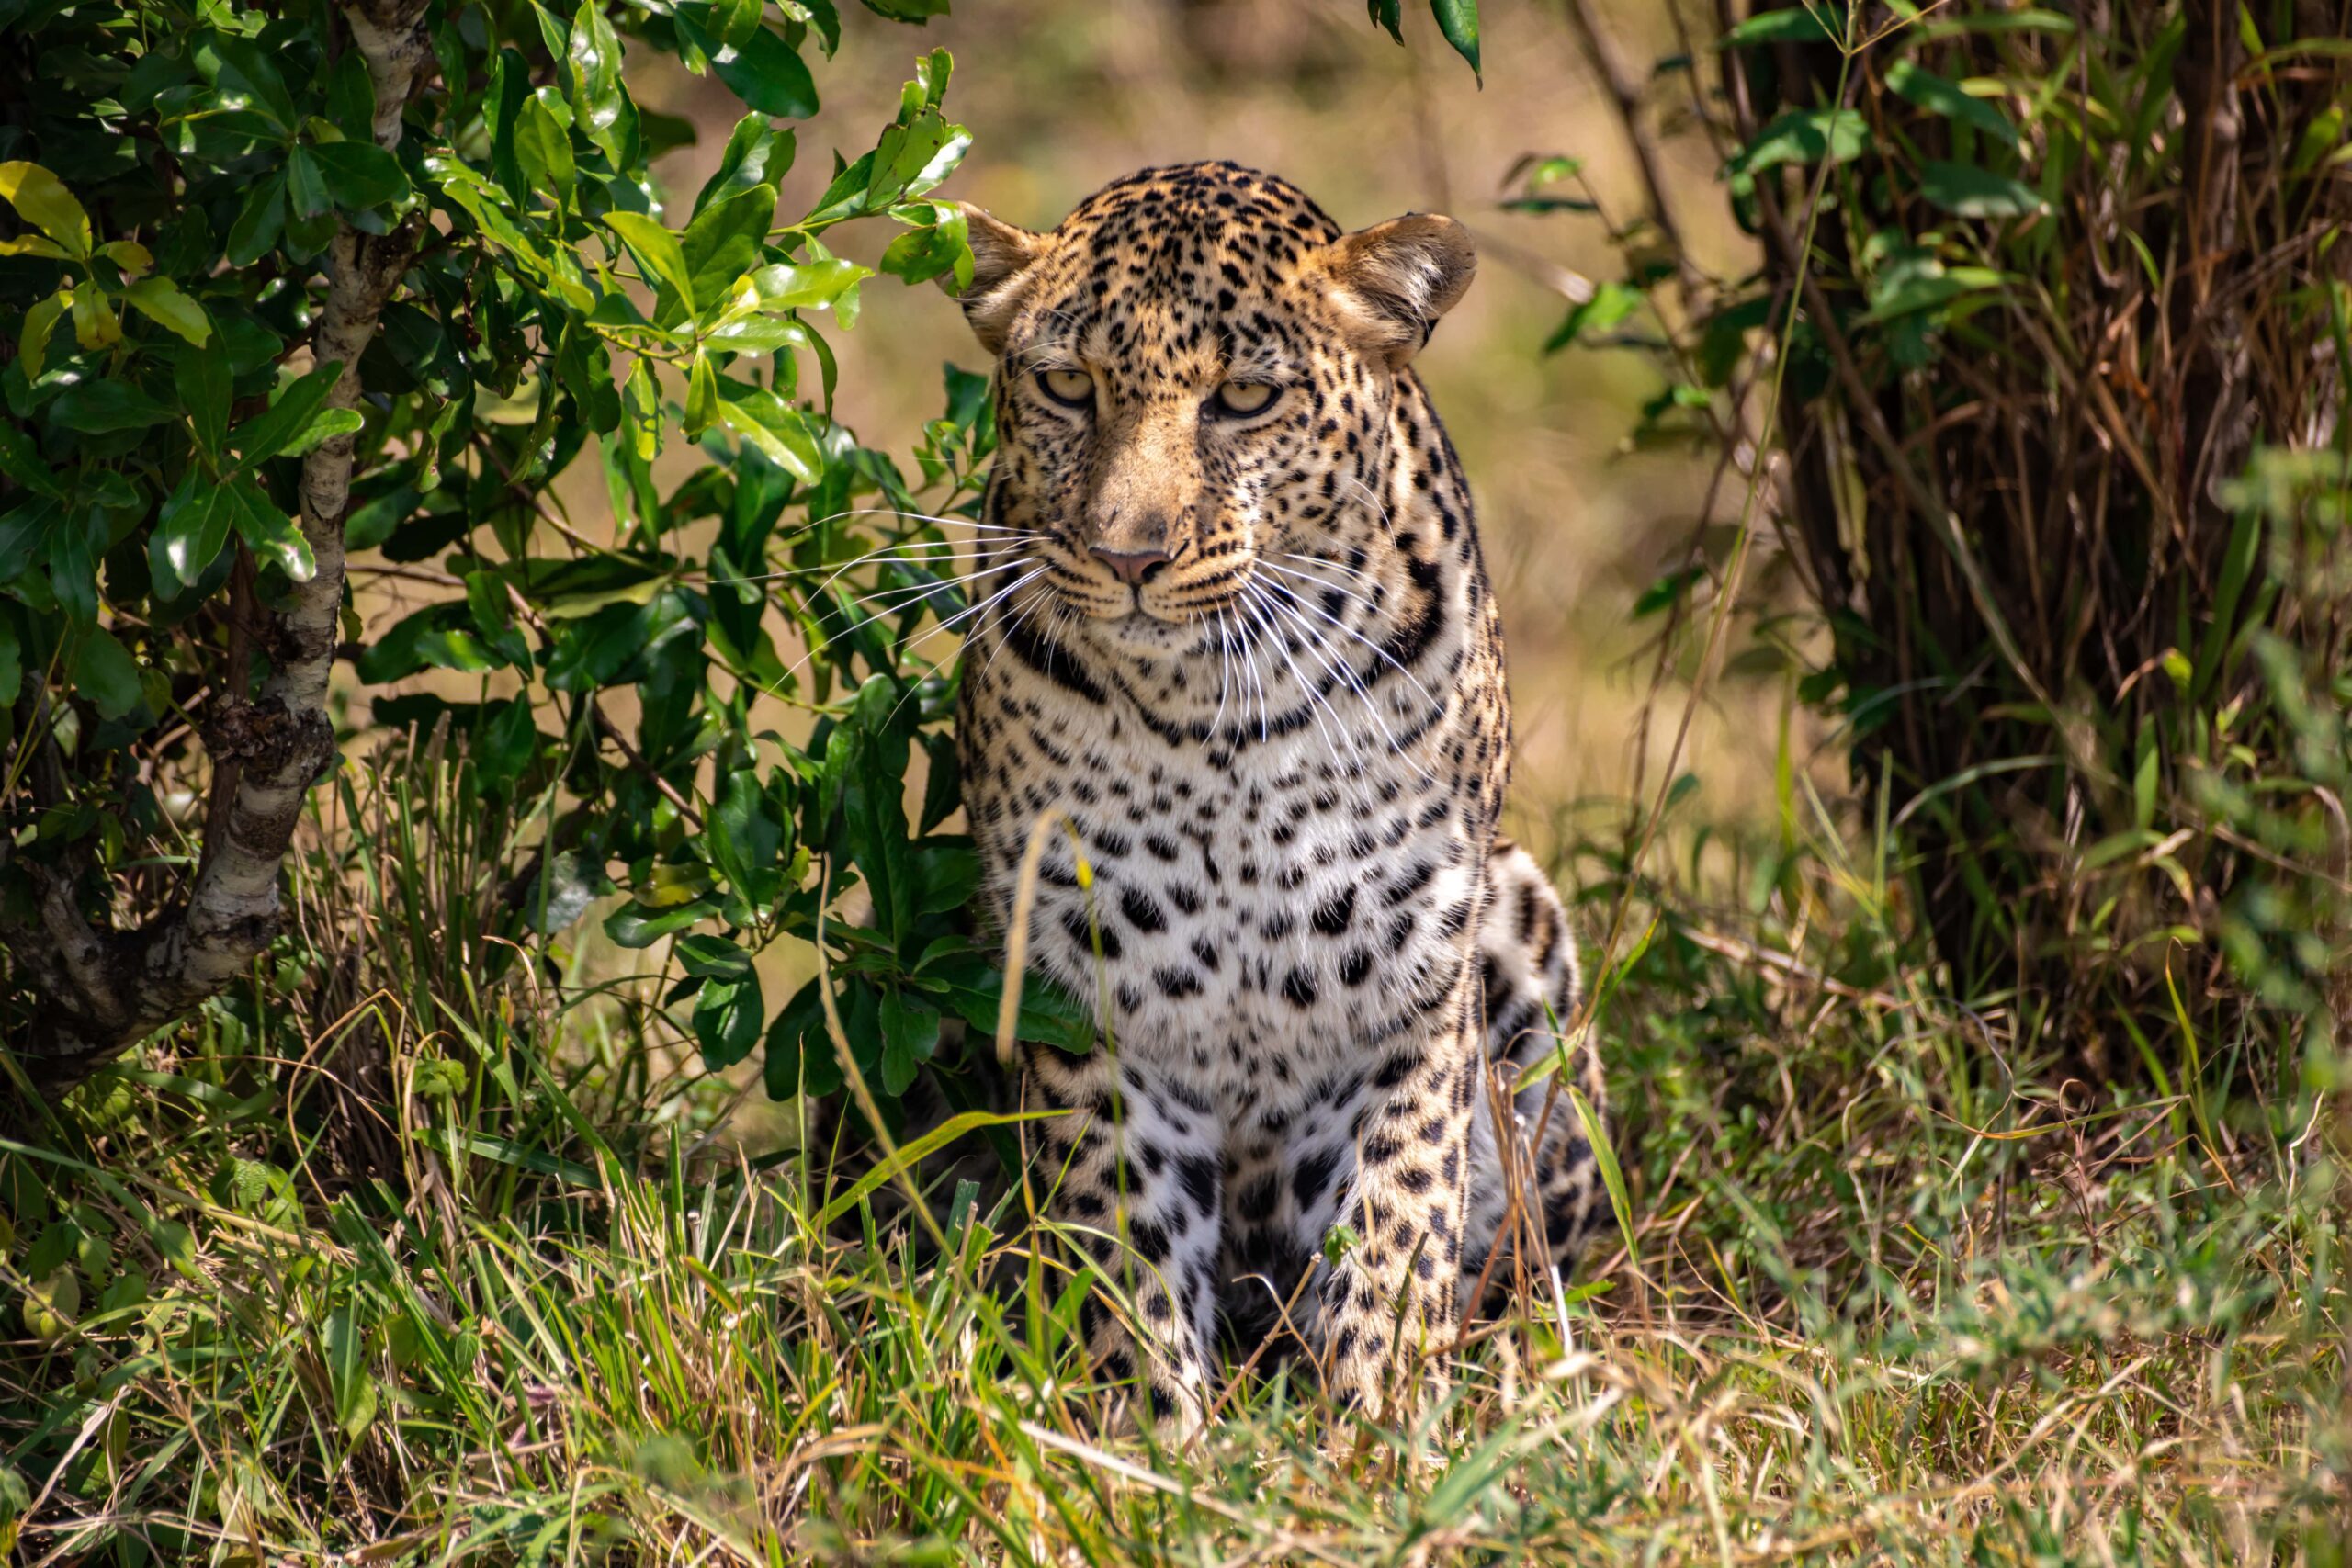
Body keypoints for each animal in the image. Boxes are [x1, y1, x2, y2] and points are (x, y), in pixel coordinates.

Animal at [945, 162, 1609, 1438]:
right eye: (1065, 385)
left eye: (1244, 398)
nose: (1130, 556)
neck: (1210, 718)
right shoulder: (1088, 998)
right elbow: (1127, 1249)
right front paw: (1156, 1445)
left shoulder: (1412, 992)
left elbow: (1396, 1221)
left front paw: (1383, 1435)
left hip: (1523, 926)